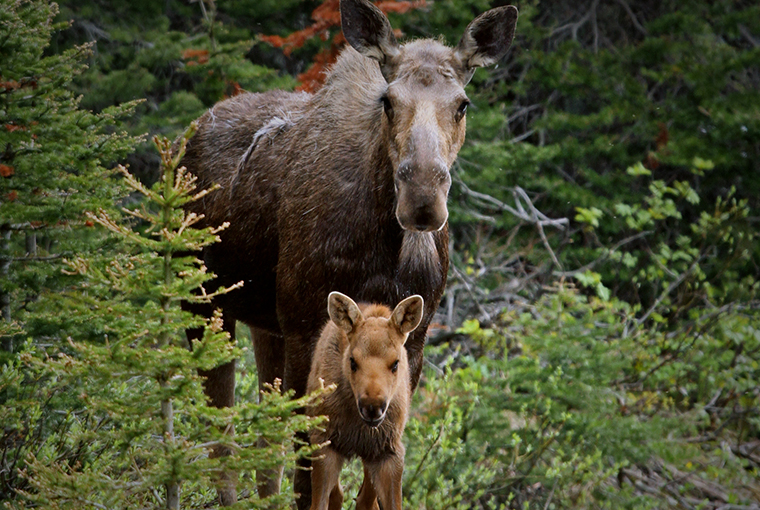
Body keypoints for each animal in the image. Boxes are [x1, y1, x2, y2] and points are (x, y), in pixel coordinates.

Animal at [306, 290, 424, 510]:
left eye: (396, 363)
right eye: (352, 361)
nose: (372, 407)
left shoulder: (390, 451)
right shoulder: (325, 442)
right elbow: (321, 502)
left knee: (365, 498)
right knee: (339, 495)